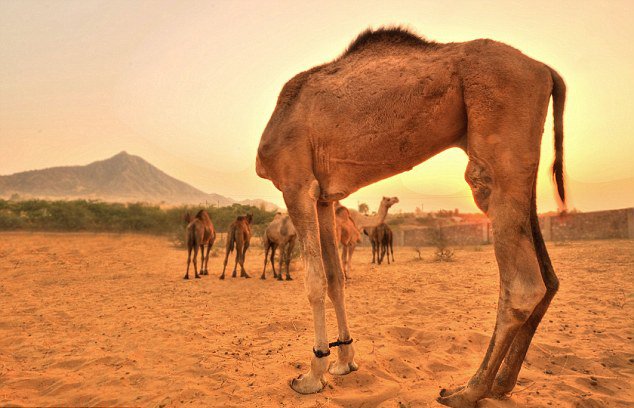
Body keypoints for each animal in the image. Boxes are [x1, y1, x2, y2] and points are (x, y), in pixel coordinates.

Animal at [254, 26, 564, 408]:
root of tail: (545, 71)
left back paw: (467, 390)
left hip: (497, 140)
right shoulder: (325, 197)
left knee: (522, 283)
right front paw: (344, 361)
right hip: (522, 165)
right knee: (548, 278)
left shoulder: (296, 184)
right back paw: (501, 384)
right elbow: (336, 278)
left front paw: (312, 375)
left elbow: (314, 281)